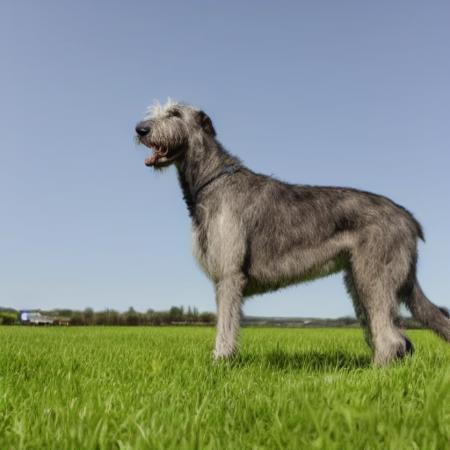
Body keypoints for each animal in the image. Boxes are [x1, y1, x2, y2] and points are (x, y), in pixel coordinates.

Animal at [136, 99, 450, 366]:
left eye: (174, 113)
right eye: (156, 111)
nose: (140, 129)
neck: (211, 180)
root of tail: (408, 218)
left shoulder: (229, 277)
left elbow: (226, 326)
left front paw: (220, 363)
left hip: (375, 277)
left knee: (392, 337)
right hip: (360, 281)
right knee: (398, 335)